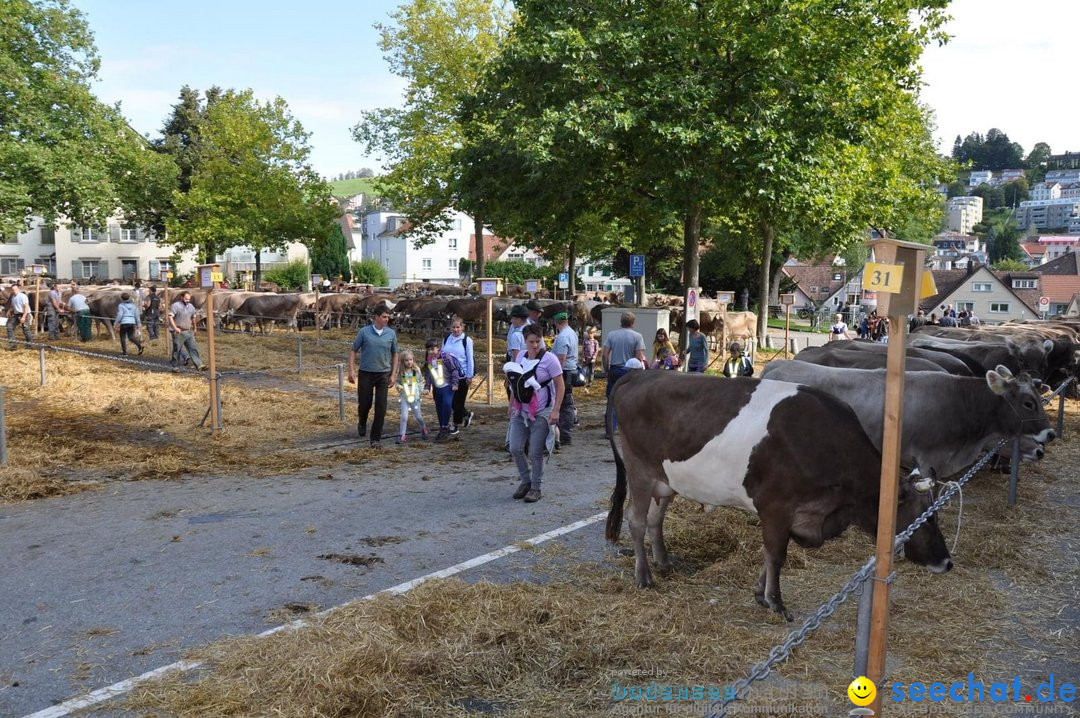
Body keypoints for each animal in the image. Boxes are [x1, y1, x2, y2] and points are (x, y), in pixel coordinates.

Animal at [604, 367, 950, 617]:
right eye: (926, 518)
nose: (947, 562)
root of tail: (640, 374)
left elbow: (772, 553)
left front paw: (761, 593)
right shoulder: (775, 505)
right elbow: (776, 553)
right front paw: (775, 601)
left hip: (666, 479)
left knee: (655, 518)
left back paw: (663, 562)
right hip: (639, 470)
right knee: (636, 520)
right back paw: (644, 577)